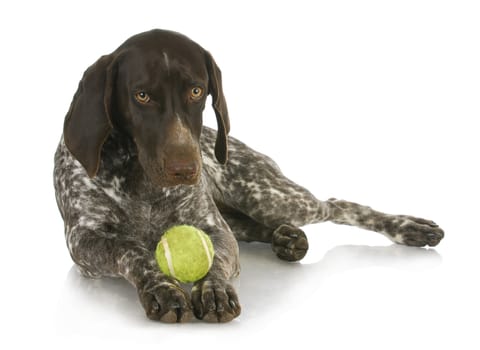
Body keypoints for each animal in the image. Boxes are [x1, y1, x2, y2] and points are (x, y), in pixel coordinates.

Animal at [54, 30, 444, 322]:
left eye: (196, 90)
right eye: (142, 95)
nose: (187, 169)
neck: (141, 182)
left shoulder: (211, 227)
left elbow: (217, 257)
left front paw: (213, 289)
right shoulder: (83, 241)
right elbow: (132, 251)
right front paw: (161, 287)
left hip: (270, 197)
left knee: (335, 204)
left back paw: (409, 227)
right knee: (255, 227)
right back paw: (286, 237)